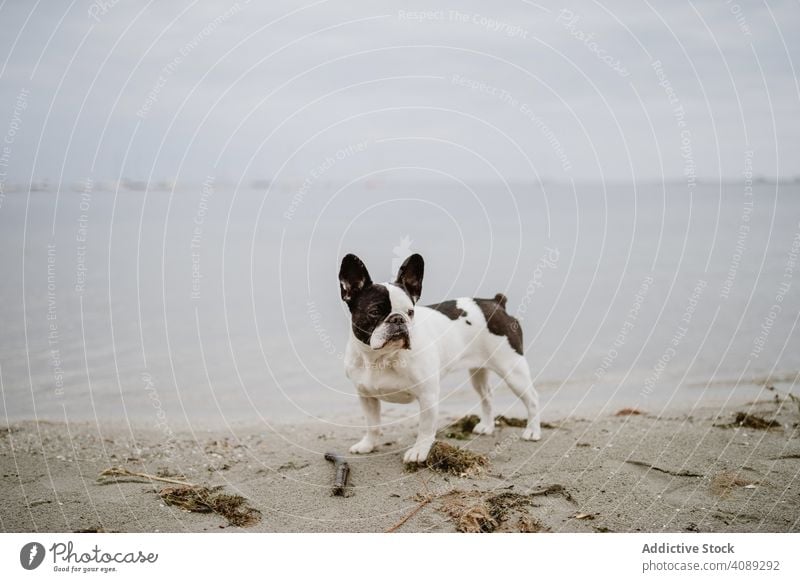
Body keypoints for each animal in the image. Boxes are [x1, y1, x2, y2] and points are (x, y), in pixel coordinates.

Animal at [340, 253, 540, 464]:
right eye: (375, 312)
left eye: (411, 312)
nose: (398, 319)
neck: (382, 358)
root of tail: (496, 303)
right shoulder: (366, 396)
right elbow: (372, 424)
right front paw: (368, 445)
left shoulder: (427, 395)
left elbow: (425, 428)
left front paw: (419, 452)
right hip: (478, 372)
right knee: (487, 395)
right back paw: (486, 426)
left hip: (512, 369)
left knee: (532, 398)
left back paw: (532, 431)